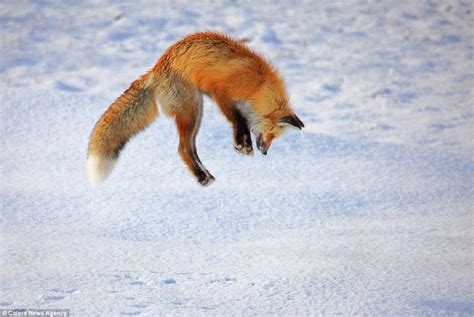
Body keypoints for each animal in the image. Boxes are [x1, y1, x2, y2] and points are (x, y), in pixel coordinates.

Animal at [88, 30, 304, 185]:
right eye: (271, 134)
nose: (265, 152)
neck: (259, 86)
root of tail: (156, 68)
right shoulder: (222, 94)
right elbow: (238, 119)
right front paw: (242, 144)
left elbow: (241, 121)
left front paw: (243, 143)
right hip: (191, 111)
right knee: (182, 148)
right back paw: (202, 177)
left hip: (196, 112)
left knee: (190, 147)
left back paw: (204, 175)